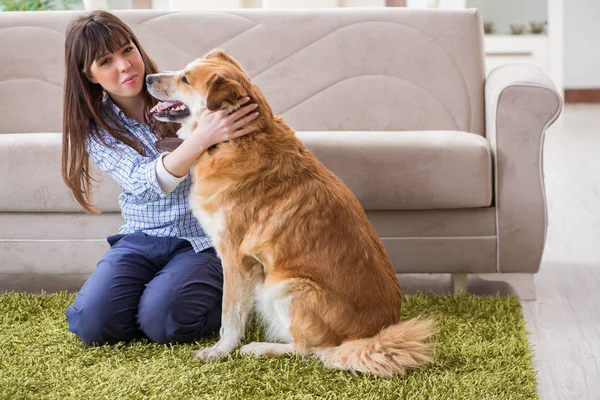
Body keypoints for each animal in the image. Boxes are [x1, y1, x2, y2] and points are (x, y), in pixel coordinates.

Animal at [147, 48, 434, 376]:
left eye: (185, 78)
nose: (148, 77)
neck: (235, 140)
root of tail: (372, 335)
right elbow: (238, 309)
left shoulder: (235, 256)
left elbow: (228, 315)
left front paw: (220, 350)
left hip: (286, 286)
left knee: (313, 351)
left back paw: (259, 348)